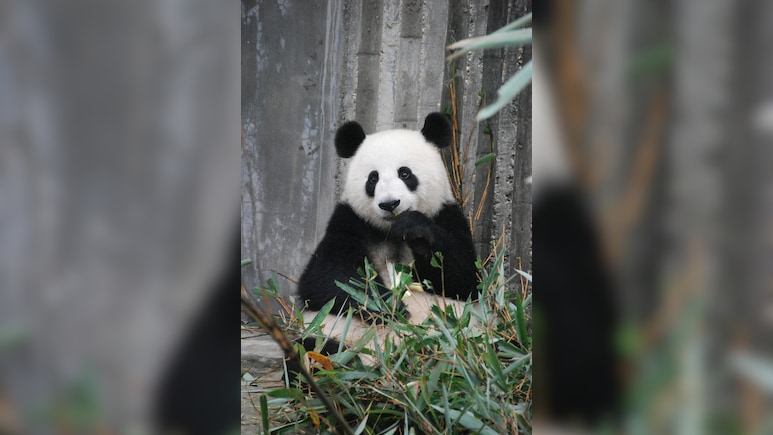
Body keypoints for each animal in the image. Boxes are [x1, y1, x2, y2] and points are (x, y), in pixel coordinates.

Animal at [296, 112, 478, 353]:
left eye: (405, 173)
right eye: (373, 178)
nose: (390, 204)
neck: (390, 231)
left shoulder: (446, 214)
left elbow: (465, 279)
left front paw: (416, 230)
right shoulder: (349, 222)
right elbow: (326, 278)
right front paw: (390, 306)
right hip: (327, 333)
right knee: (313, 348)